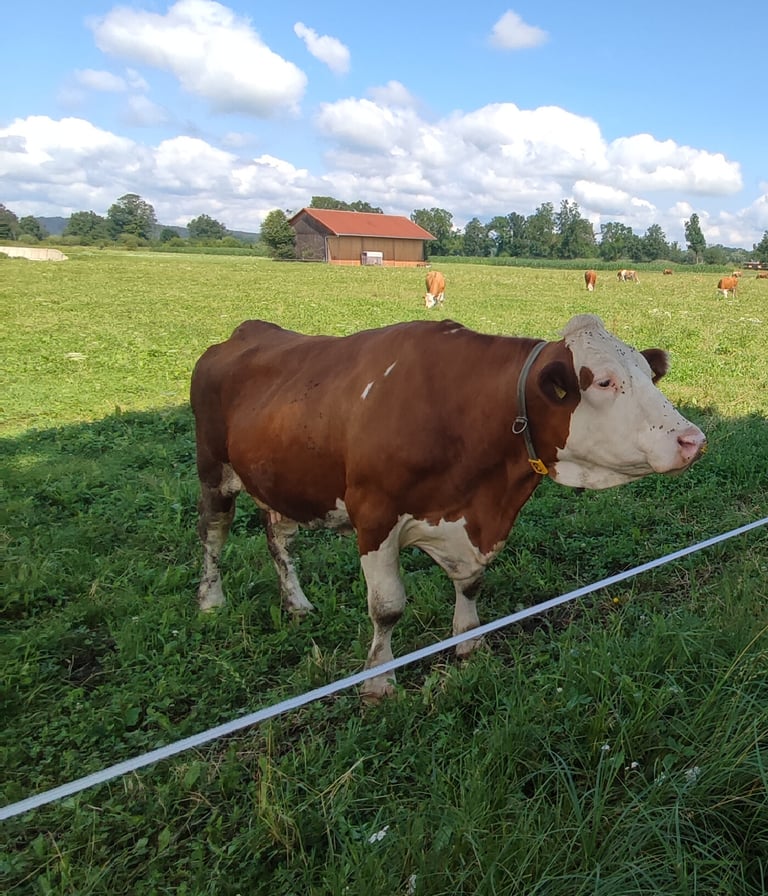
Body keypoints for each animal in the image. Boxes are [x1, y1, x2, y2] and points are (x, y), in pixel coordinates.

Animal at [191, 314, 707, 701]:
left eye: (649, 375)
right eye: (603, 380)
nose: (692, 439)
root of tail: (244, 332)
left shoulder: (474, 524)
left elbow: (472, 582)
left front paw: (469, 641)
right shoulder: (373, 516)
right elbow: (387, 607)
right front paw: (379, 681)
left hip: (278, 481)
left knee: (278, 537)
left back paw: (296, 603)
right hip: (213, 469)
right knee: (213, 534)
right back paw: (211, 602)